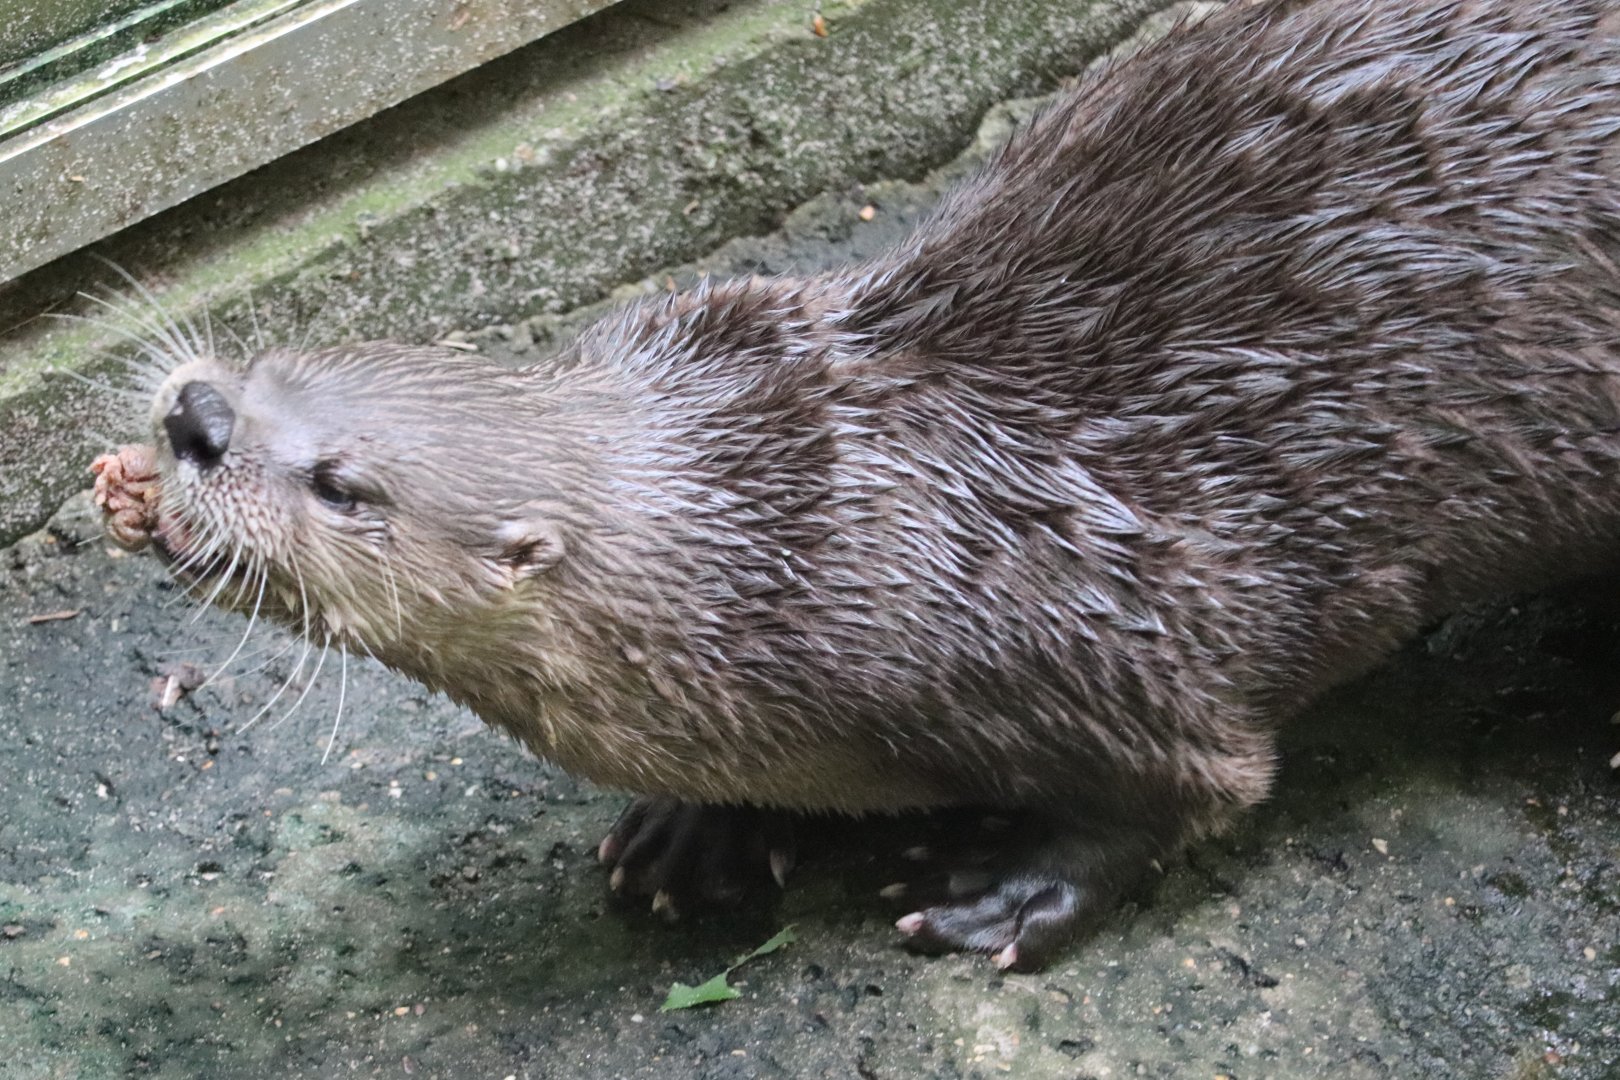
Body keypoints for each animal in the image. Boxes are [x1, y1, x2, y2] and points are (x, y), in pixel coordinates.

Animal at [93, 0, 1620, 972]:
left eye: (344, 484)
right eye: (282, 354)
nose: (198, 415)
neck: (802, 551)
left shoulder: (1078, 645)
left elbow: (1200, 785)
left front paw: (1008, 892)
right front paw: (693, 832)